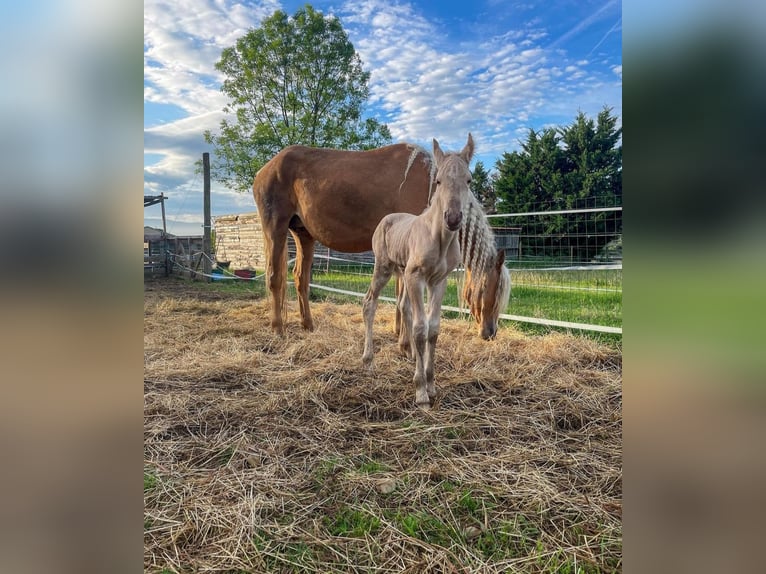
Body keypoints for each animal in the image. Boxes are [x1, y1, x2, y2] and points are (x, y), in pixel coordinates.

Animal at [364, 135, 476, 410]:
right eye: (438, 181)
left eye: (469, 180)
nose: (453, 218)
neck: (439, 239)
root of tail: (386, 219)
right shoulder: (416, 277)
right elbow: (419, 328)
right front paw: (421, 392)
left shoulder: (438, 281)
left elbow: (432, 329)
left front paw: (431, 384)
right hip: (384, 268)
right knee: (369, 303)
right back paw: (368, 361)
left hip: (402, 272)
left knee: (403, 306)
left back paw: (410, 353)